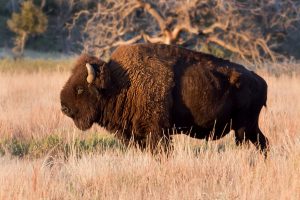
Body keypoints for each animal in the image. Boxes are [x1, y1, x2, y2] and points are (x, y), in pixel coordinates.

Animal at [60, 43, 270, 153]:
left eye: (80, 89)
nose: (64, 107)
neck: (119, 82)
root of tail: (260, 80)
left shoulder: (157, 132)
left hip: (243, 128)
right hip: (248, 128)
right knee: (263, 143)